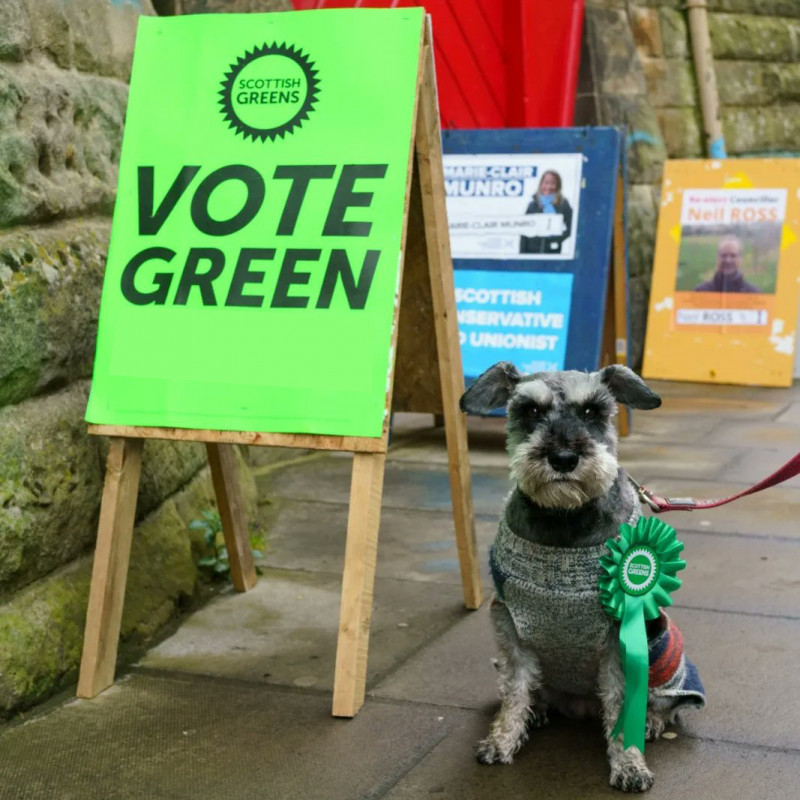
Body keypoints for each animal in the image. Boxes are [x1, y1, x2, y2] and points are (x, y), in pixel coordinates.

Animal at [460, 362, 704, 792]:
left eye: (592, 411)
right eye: (530, 411)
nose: (562, 458)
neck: (565, 520)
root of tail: (580, 705)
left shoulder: (620, 642)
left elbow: (624, 706)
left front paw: (629, 763)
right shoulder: (510, 630)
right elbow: (514, 691)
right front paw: (501, 740)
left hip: (664, 660)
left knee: (667, 705)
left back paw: (652, 722)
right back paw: (539, 710)